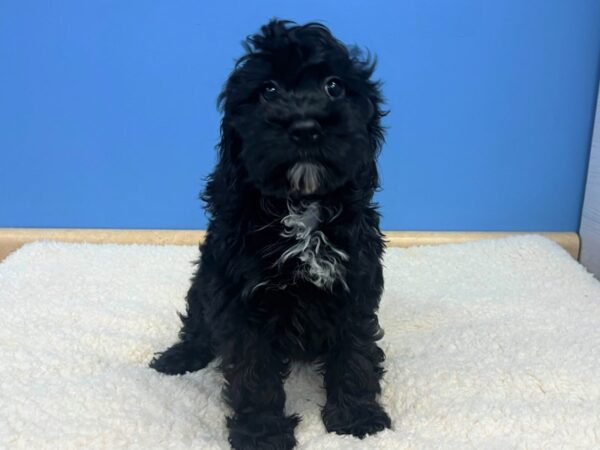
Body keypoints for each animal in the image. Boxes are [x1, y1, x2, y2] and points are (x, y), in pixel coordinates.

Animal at [151, 19, 390, 448]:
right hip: (205, 279)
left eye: (334, 86)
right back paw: (180, 357)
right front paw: (262, 434)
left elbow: (356, 349)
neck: (300, 206)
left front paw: (357, 418)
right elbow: (253, 371)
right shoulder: (241, 296)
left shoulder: (355, 281)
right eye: (269, 90)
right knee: (197, 322)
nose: (306, 126)